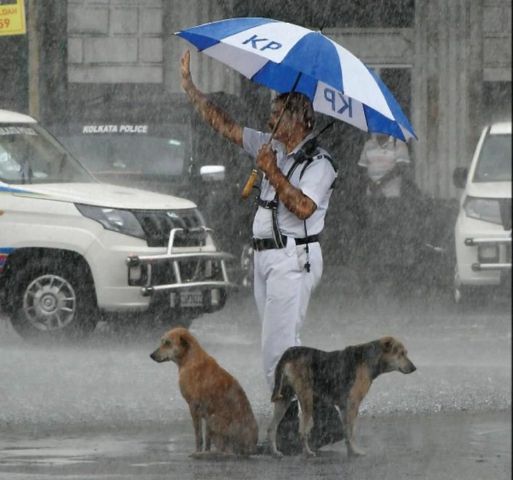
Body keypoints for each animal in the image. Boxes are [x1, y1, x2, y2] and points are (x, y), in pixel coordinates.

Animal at [150, 326, 258, 458]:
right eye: (162, 341)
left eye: (167, 343)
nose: (151, 355)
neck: (190, 359)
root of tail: (250, 448)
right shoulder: (206, 411)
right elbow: (207, 439)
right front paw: (205, 450)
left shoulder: (194, 406)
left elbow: (198, 436)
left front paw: (198, 451)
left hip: (214, 419)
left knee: (227, 451)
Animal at [266, 338, 414, 458]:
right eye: (401, 354)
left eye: (405, 353)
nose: (414, 368)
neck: (369, 359)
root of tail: (290, 351)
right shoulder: (353, 404)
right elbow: (351, 431)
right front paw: (356, 451)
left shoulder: (344, 407)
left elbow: (346, 431)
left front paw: (350, 451)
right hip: (307, 398)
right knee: (302, 431)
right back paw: (307, 453)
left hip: (284, 398)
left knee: (272, 428)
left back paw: (275, 452)